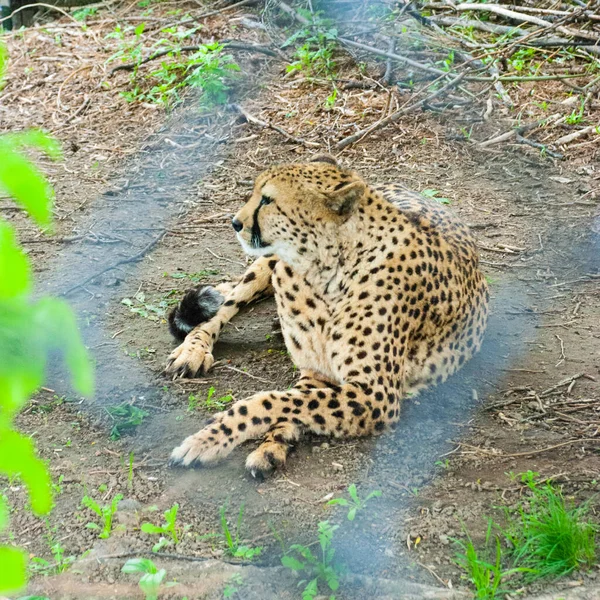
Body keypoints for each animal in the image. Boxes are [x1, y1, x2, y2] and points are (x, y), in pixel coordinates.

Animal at [164, 155, 488, 478]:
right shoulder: (324, 373)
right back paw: (193, 351)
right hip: (267, 264)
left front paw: (239, 441)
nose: (235, 222)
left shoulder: (373, 395)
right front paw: (219, 438)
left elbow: (278, 403)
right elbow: (286, 401)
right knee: (222, 308)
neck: (323, 271)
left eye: (267, 199)